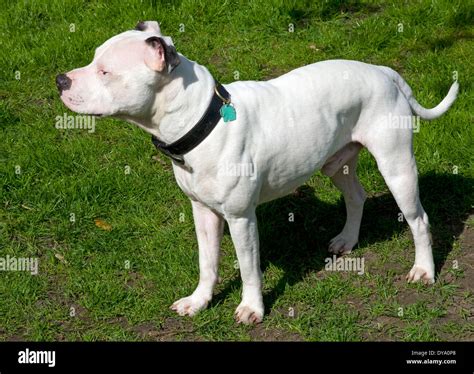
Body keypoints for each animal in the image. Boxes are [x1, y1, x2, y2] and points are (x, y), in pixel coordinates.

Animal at [56, 21, 460, 324]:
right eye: (93, 59)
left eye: (105, 72)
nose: (61, 79)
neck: (203, 121)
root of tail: (384, 72)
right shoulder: (203, 213)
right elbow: (207, 263)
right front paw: (199, 301)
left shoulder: (240, 218)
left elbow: (249, 267)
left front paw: (251, 309)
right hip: (337, 162)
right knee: (356, 196)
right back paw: (347, 240)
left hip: (396, 166)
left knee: (419, 220)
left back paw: (424, 271)